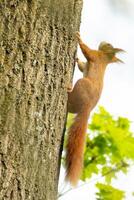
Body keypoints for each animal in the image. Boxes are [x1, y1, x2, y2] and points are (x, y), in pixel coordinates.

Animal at [65, 31, 123, 186]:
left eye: (109, 45)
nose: (104, 41)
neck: (105, 58)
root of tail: (87, 108)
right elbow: (82, 66)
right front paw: (77, 59)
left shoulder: (95, 55)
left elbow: (87, 52)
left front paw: (79, 38)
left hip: (81, 84)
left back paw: (68, 88)